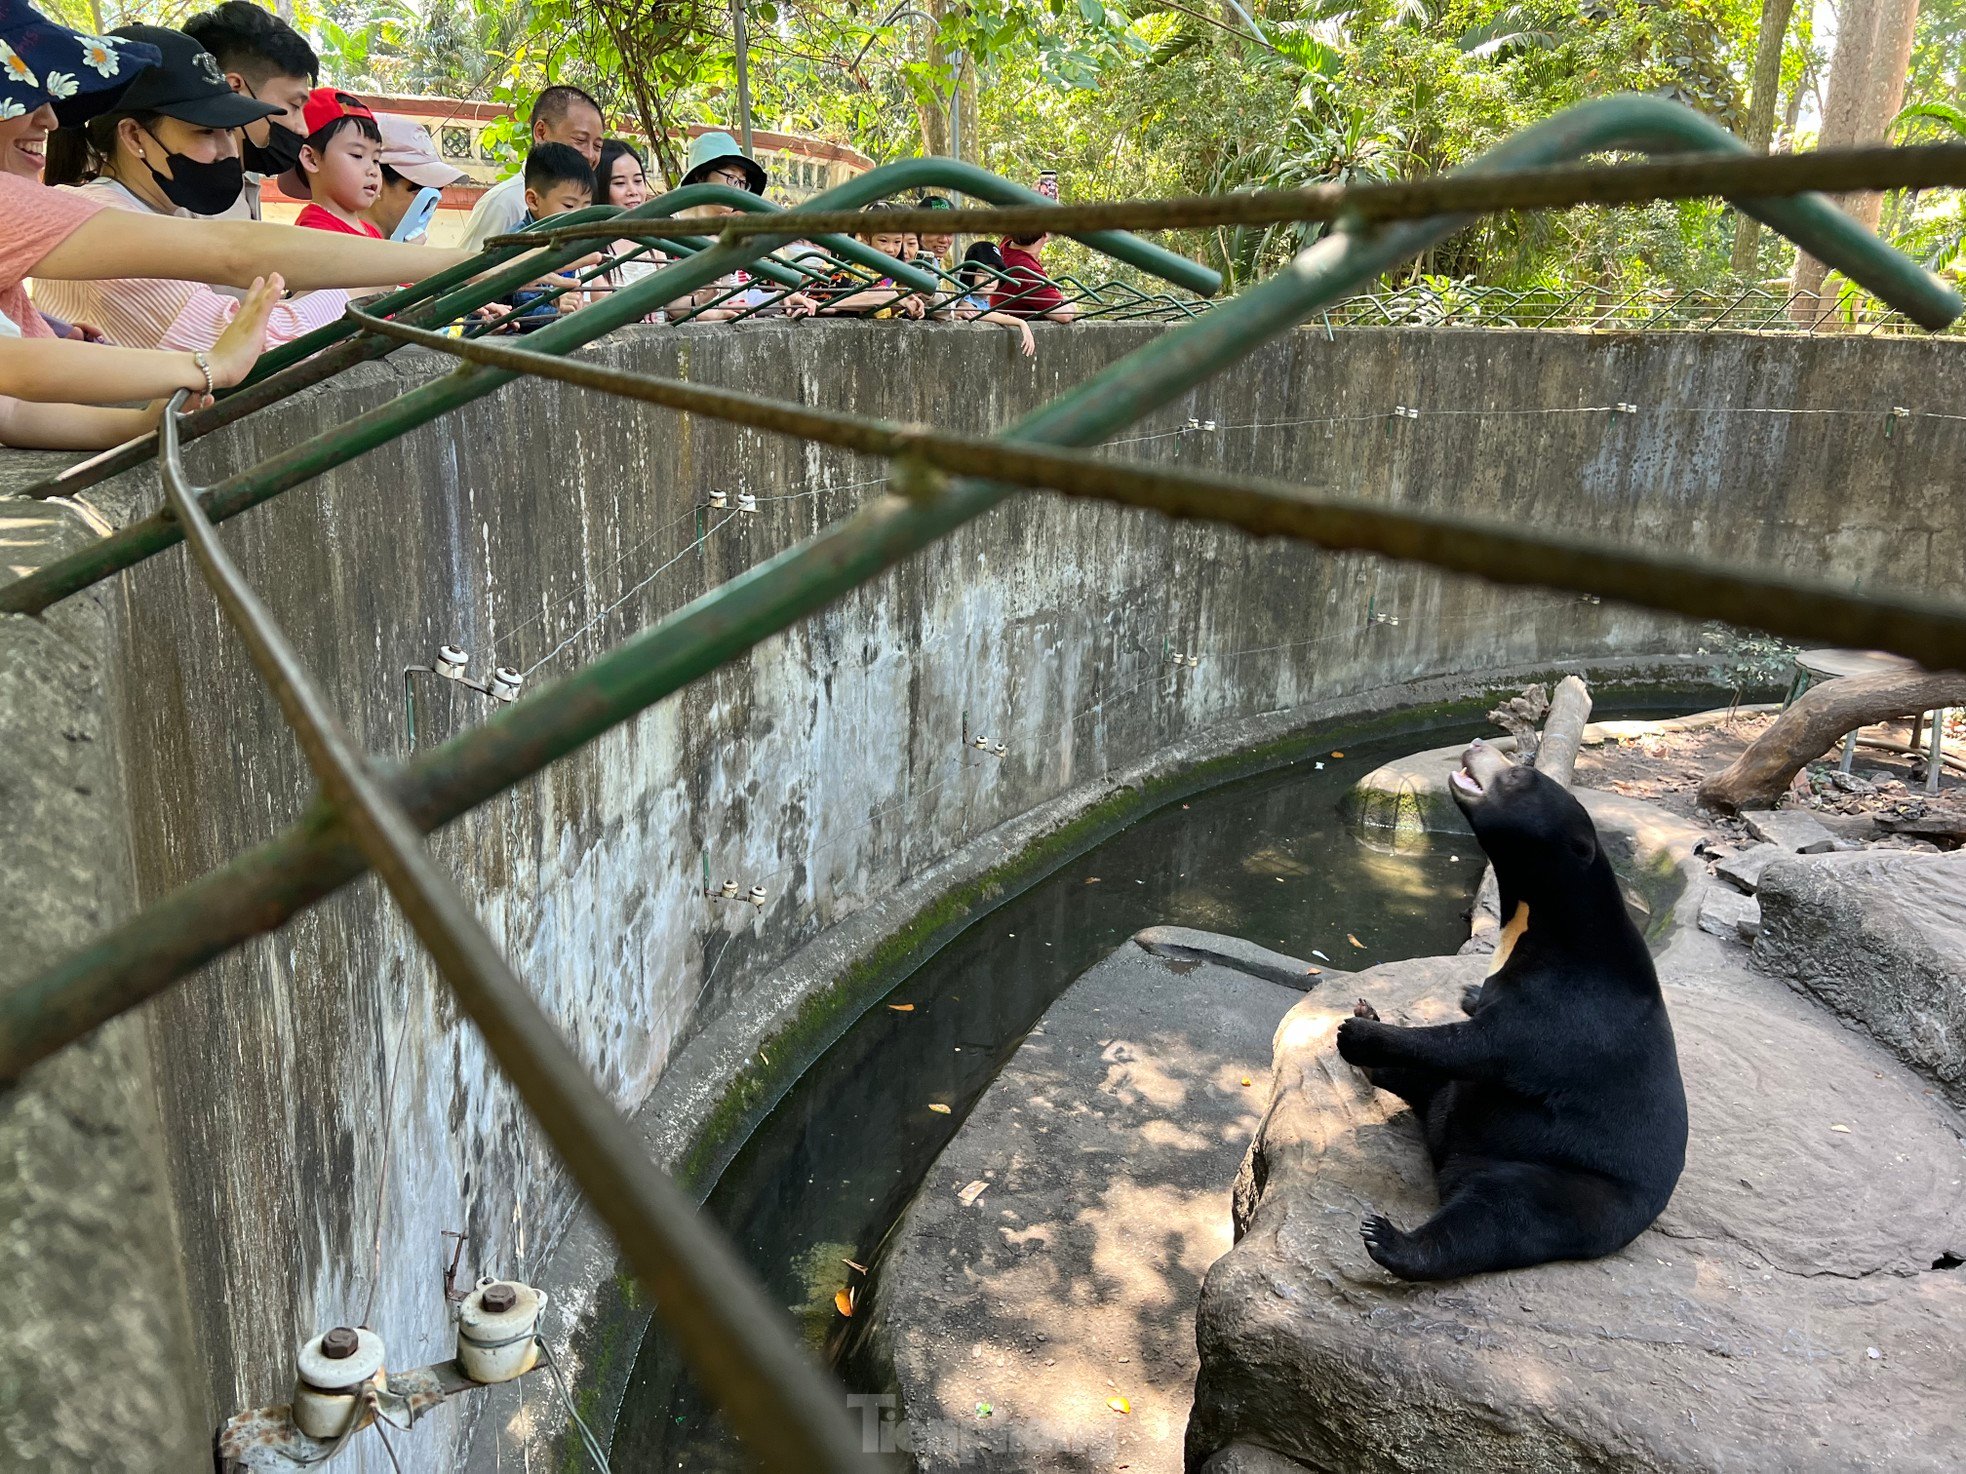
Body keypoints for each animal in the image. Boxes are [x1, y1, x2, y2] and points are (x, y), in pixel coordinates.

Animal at [1336, 738, 1690, 1281]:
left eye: (1522, 776)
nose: (1478, 743)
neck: (1536, 917)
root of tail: (1452, 1156)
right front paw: (1459, 994)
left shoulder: (1569, 1005)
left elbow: (1485, 1046)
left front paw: (1355, 1032)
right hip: (1460, 1106)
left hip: (1565, 1181)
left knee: (1498, 1217)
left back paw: (1390, 1239)